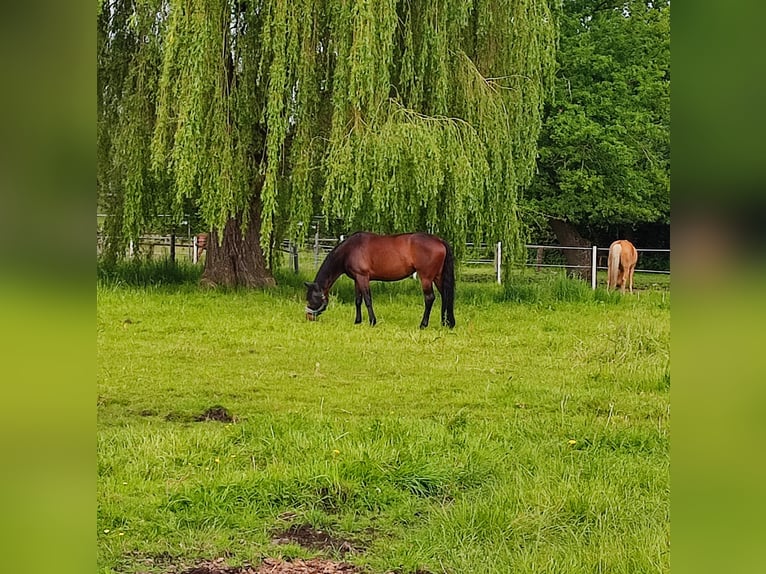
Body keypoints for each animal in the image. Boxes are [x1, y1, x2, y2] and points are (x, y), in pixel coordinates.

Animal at [304, 231, 456, 328]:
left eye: (311, 298)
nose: (308, 317)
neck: (349, 250)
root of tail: (439, 240)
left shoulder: (363, 277)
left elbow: (367, 300)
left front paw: (372, 321)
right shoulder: (357, 279)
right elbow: (358, 301)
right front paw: (357, 321)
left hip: (426, 278)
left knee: (430, 298)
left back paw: (423, 324)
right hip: (438, 277)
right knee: (445, 296)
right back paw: (445, 323)